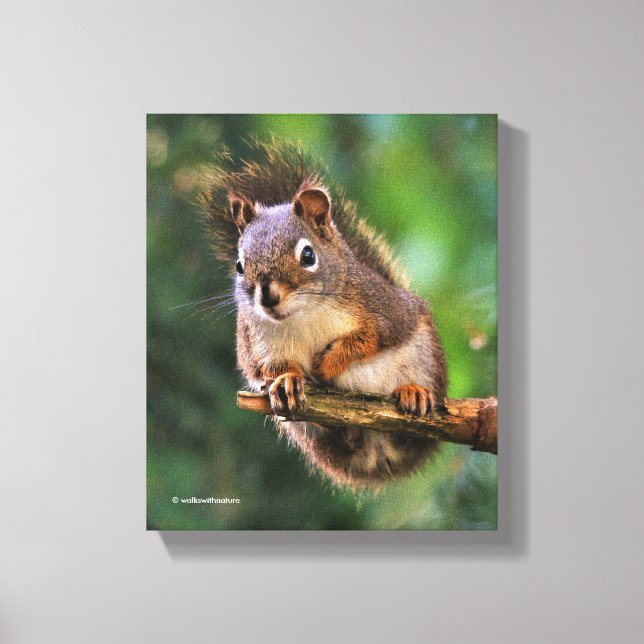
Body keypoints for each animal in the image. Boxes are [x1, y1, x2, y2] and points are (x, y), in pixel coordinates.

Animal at [201, 138, 447, 489]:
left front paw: (330, 361)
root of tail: (379, 455)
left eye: (308, 255)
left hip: (425, 356)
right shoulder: (254, 344)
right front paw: (286, 380)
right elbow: (264, 369)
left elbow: (372, 338)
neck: (302, 316)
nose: (268, 297)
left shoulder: (385, 310)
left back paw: (414, 393)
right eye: (239, 265)